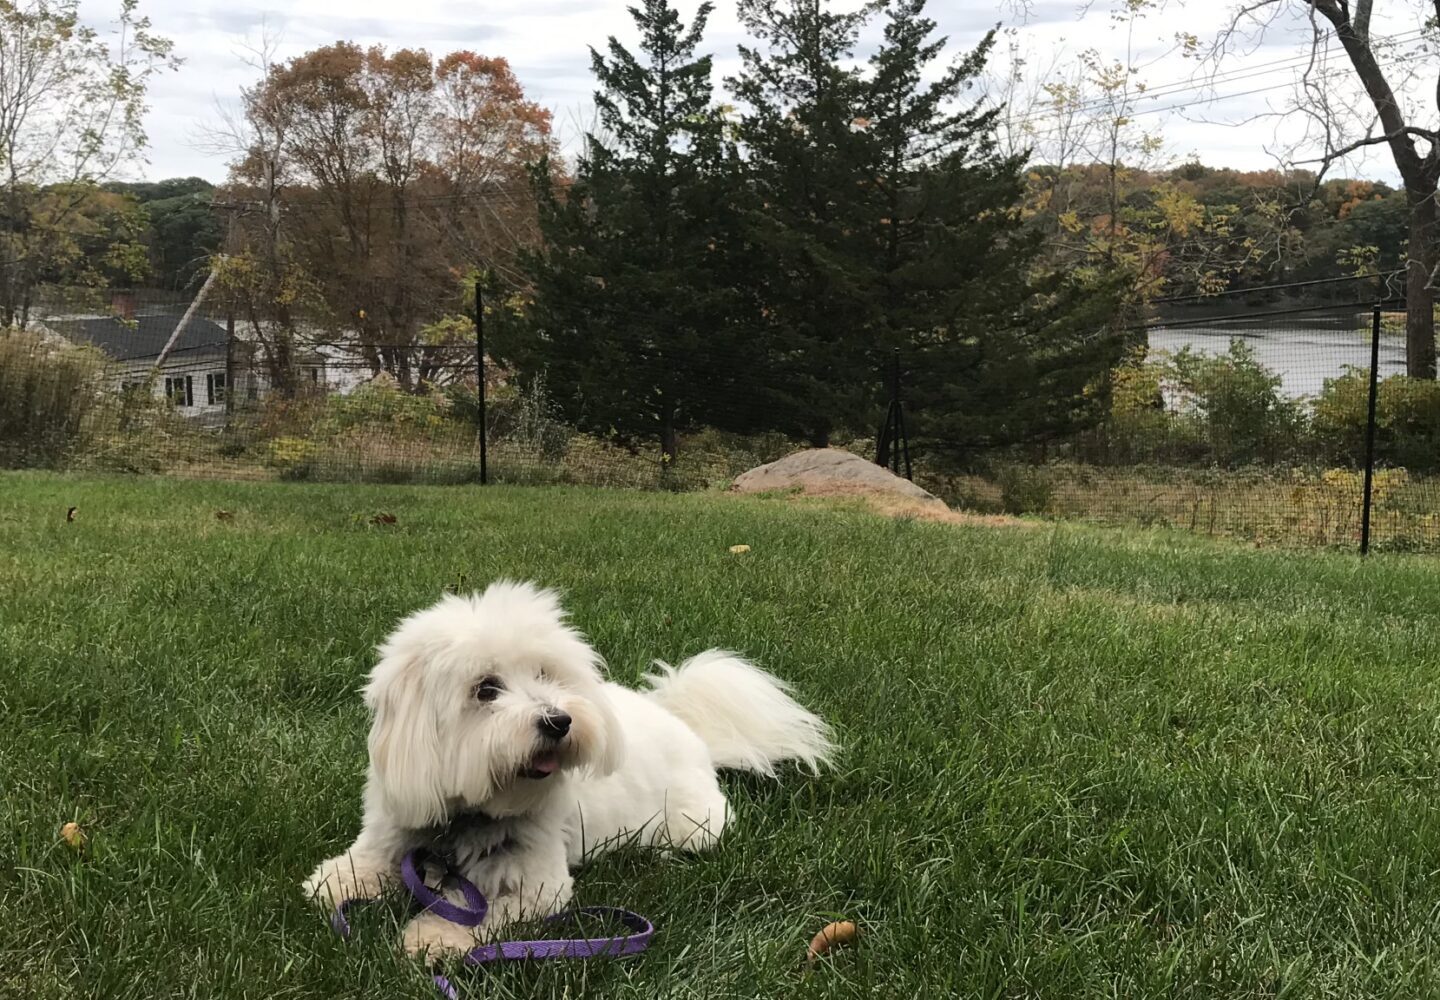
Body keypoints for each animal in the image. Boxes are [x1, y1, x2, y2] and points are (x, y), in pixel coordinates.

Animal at [303, 585, 835, 962]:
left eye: (545, 674)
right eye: (485, 689)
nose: (558, 721)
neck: (468, 815)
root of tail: (685, 724)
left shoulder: (538, 886)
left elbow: (475, 915)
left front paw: (431, 938)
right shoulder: (396, 824)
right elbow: (363, 862)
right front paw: (335, 881)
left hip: (693, 826)